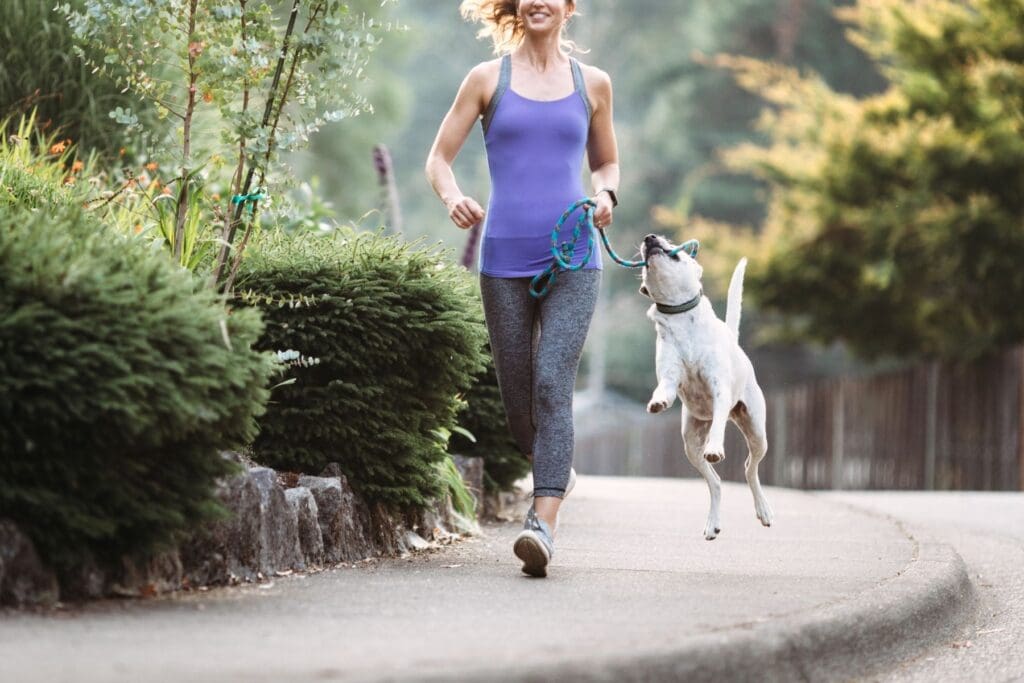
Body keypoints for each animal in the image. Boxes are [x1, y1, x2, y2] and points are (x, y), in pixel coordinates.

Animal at [634, 235, 770, 540]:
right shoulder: (670, 375)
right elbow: (665, 388)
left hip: (757, 430)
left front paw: (716, 449)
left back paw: (763, 510)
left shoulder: (719, 390)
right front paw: (658, 402)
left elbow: (719, 425)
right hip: (690, 442)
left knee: (750, 468)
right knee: (715, 481)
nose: (650, 238)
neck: (681, 317)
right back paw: (712, 523)